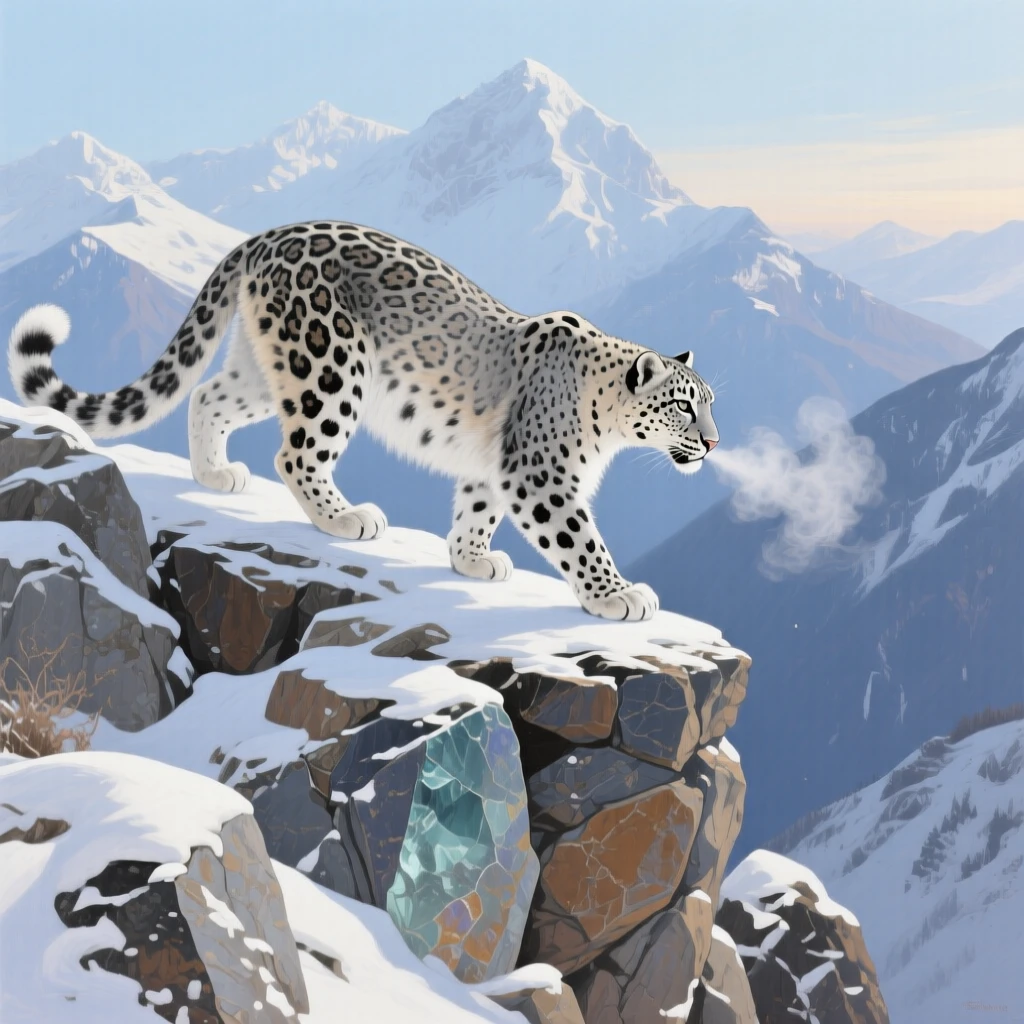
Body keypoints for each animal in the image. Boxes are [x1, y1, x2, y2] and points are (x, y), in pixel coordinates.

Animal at [8, 221, 718, 620]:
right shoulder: (540, 474)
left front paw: (471, 561)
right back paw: (347, 517)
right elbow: (578, 537)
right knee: (296, 452)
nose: (713, 442)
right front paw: (618, 595)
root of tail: (264, 236)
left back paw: (216, 476)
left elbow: (475, 509)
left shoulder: (494, 467)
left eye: (712, 400)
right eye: (685, 404)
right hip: (330, 365)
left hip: (263, 366)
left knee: (208, 395)